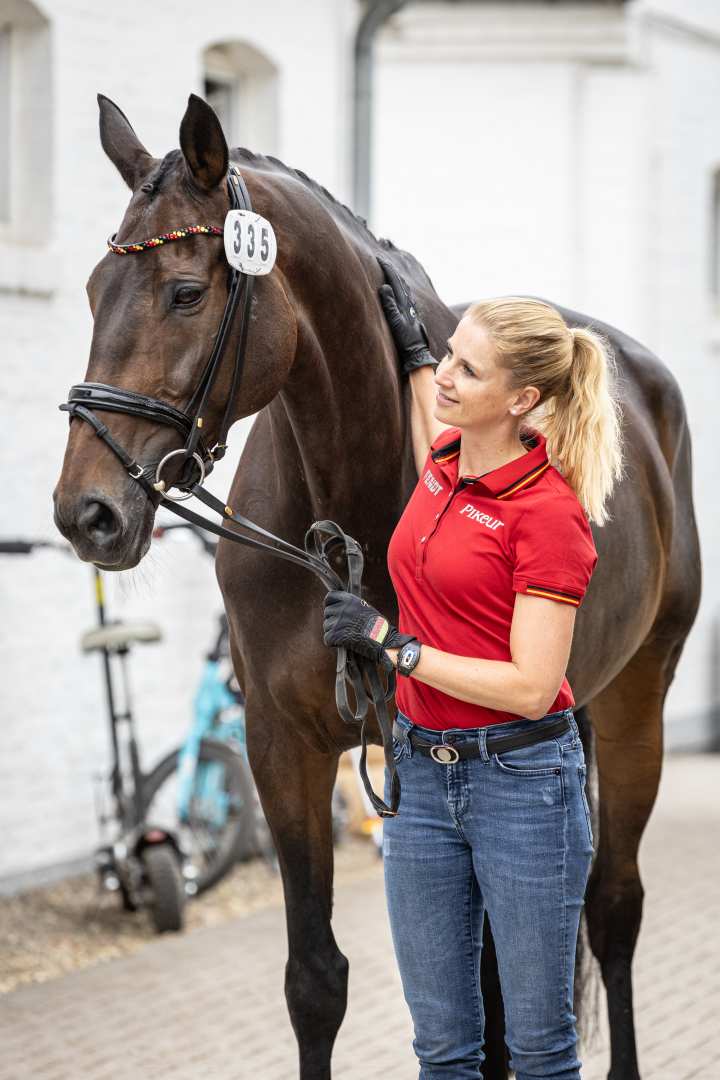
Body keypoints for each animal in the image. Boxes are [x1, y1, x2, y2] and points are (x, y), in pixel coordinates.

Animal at [55, 95, 703, 1080]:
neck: (346, 497)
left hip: (638, 700)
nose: (85, 511)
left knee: (611, 909)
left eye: (186, 292)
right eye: (94, 291)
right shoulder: (281, 744)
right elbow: (318, 981)